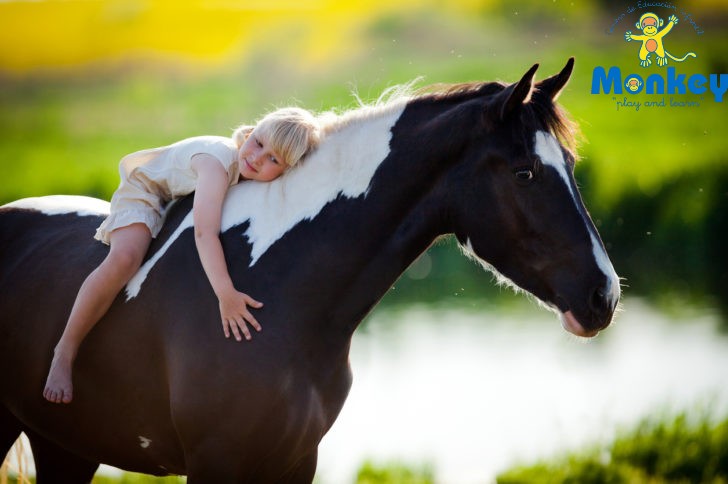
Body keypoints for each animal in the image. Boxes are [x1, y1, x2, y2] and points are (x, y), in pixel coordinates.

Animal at [0, 58, 620, 482]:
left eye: (569, 163)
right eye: (524, 173)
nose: (604, 296)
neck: (281, 291)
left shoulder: (296, 462)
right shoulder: (214, 462)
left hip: (67, 447)